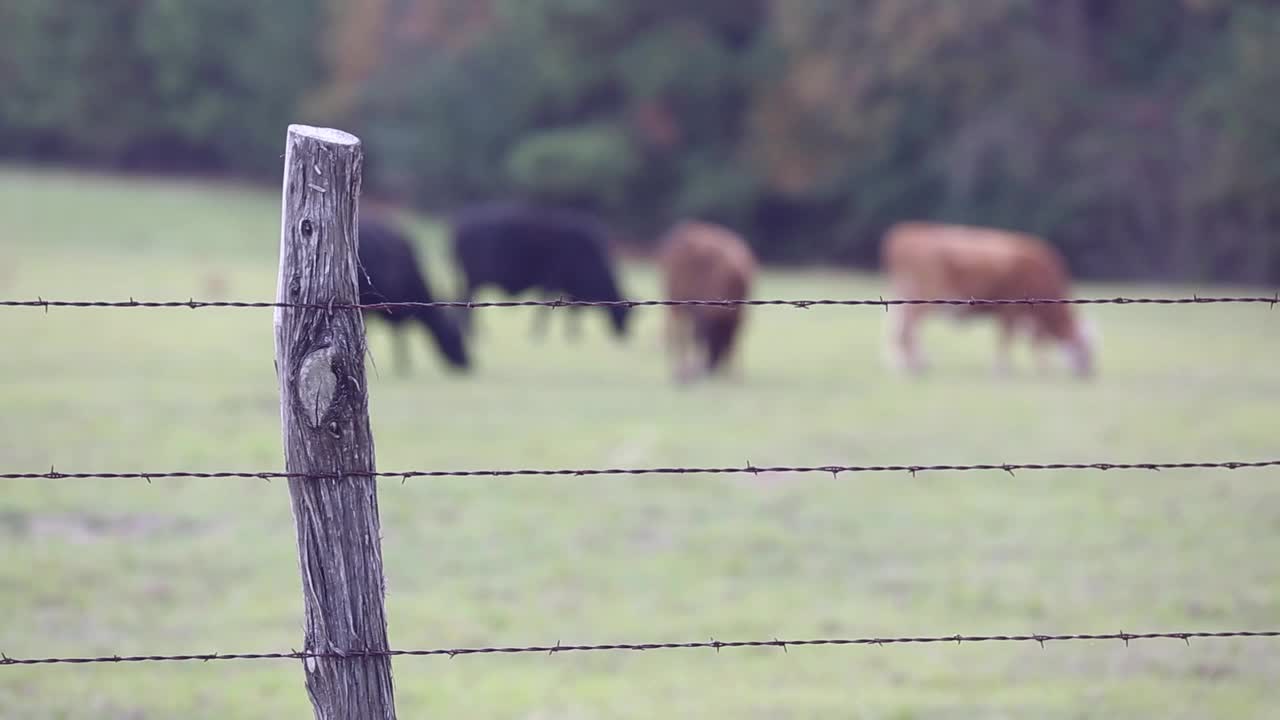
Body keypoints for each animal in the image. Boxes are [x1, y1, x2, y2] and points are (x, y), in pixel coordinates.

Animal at [448, 198, 632, 338]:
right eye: (624, 313)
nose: (624, 335)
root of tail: (460, 226)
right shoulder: (552, 280)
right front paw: (542, 333)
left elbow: (572, 310)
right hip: (473, 278)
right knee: (466, 299)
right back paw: (473, 331)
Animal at [655, 219, 752, 384]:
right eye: (715, 336)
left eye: (722, 336)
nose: (710, 367)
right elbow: (694, 337)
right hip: (674, 302)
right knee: (677, 333)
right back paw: (680, 370)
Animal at [880, 220, 1100, 379]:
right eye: (1086, 349)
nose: (1089, 374)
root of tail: (908, 232)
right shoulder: (1011, 311)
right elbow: (1007, 339)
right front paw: (1003, 370)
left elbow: (1030, 341)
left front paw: (1040, 366)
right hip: (921, 296)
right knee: (908, 330)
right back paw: (914, 366)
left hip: (904, 296)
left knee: (899, 330)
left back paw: (907, 364)